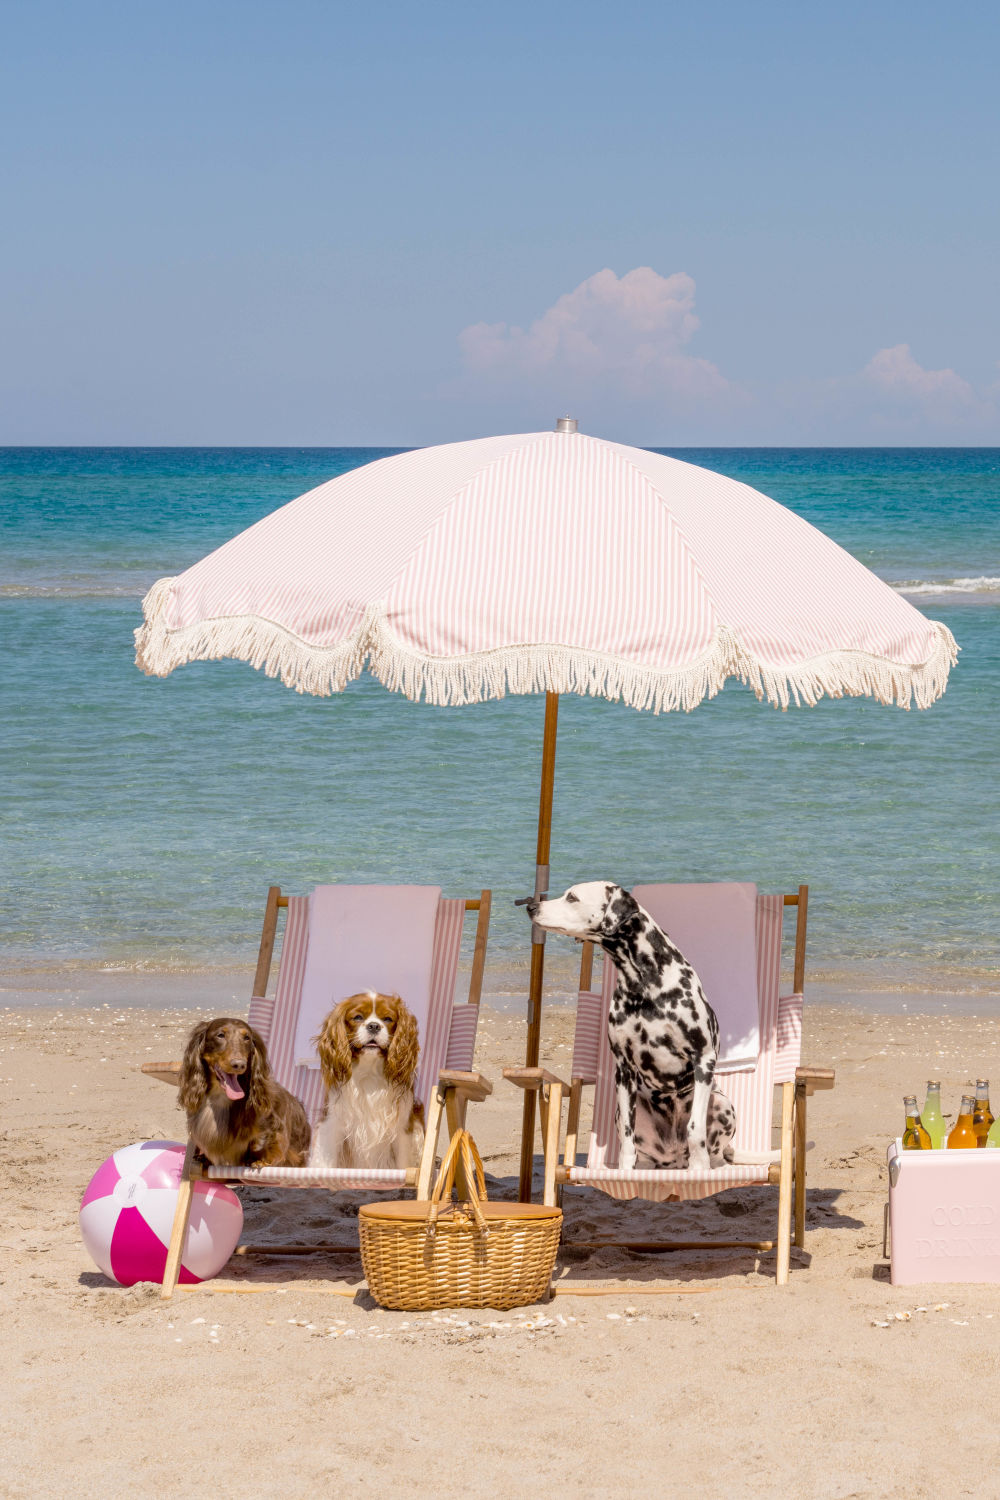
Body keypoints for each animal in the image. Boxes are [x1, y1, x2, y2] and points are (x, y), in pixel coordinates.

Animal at [310, 990, 425, 1176]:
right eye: (357, 1017)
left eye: (387, 1019)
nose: (373, 1026)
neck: (369, 1071)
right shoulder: (332, 1124)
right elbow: (326, 1165)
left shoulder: (403, 1130)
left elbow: (403, 1165)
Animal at [527, 876, 779, 1170]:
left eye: (572, 898)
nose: (531, 907)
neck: (643, 982)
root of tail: (674, 1160)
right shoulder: (623, 1069)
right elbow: (627, 1140)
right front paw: (624, 1172)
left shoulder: (703, 1058)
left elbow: (695, 1130)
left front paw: (700, 1169)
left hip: (721, 1103)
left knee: (714, 1151)